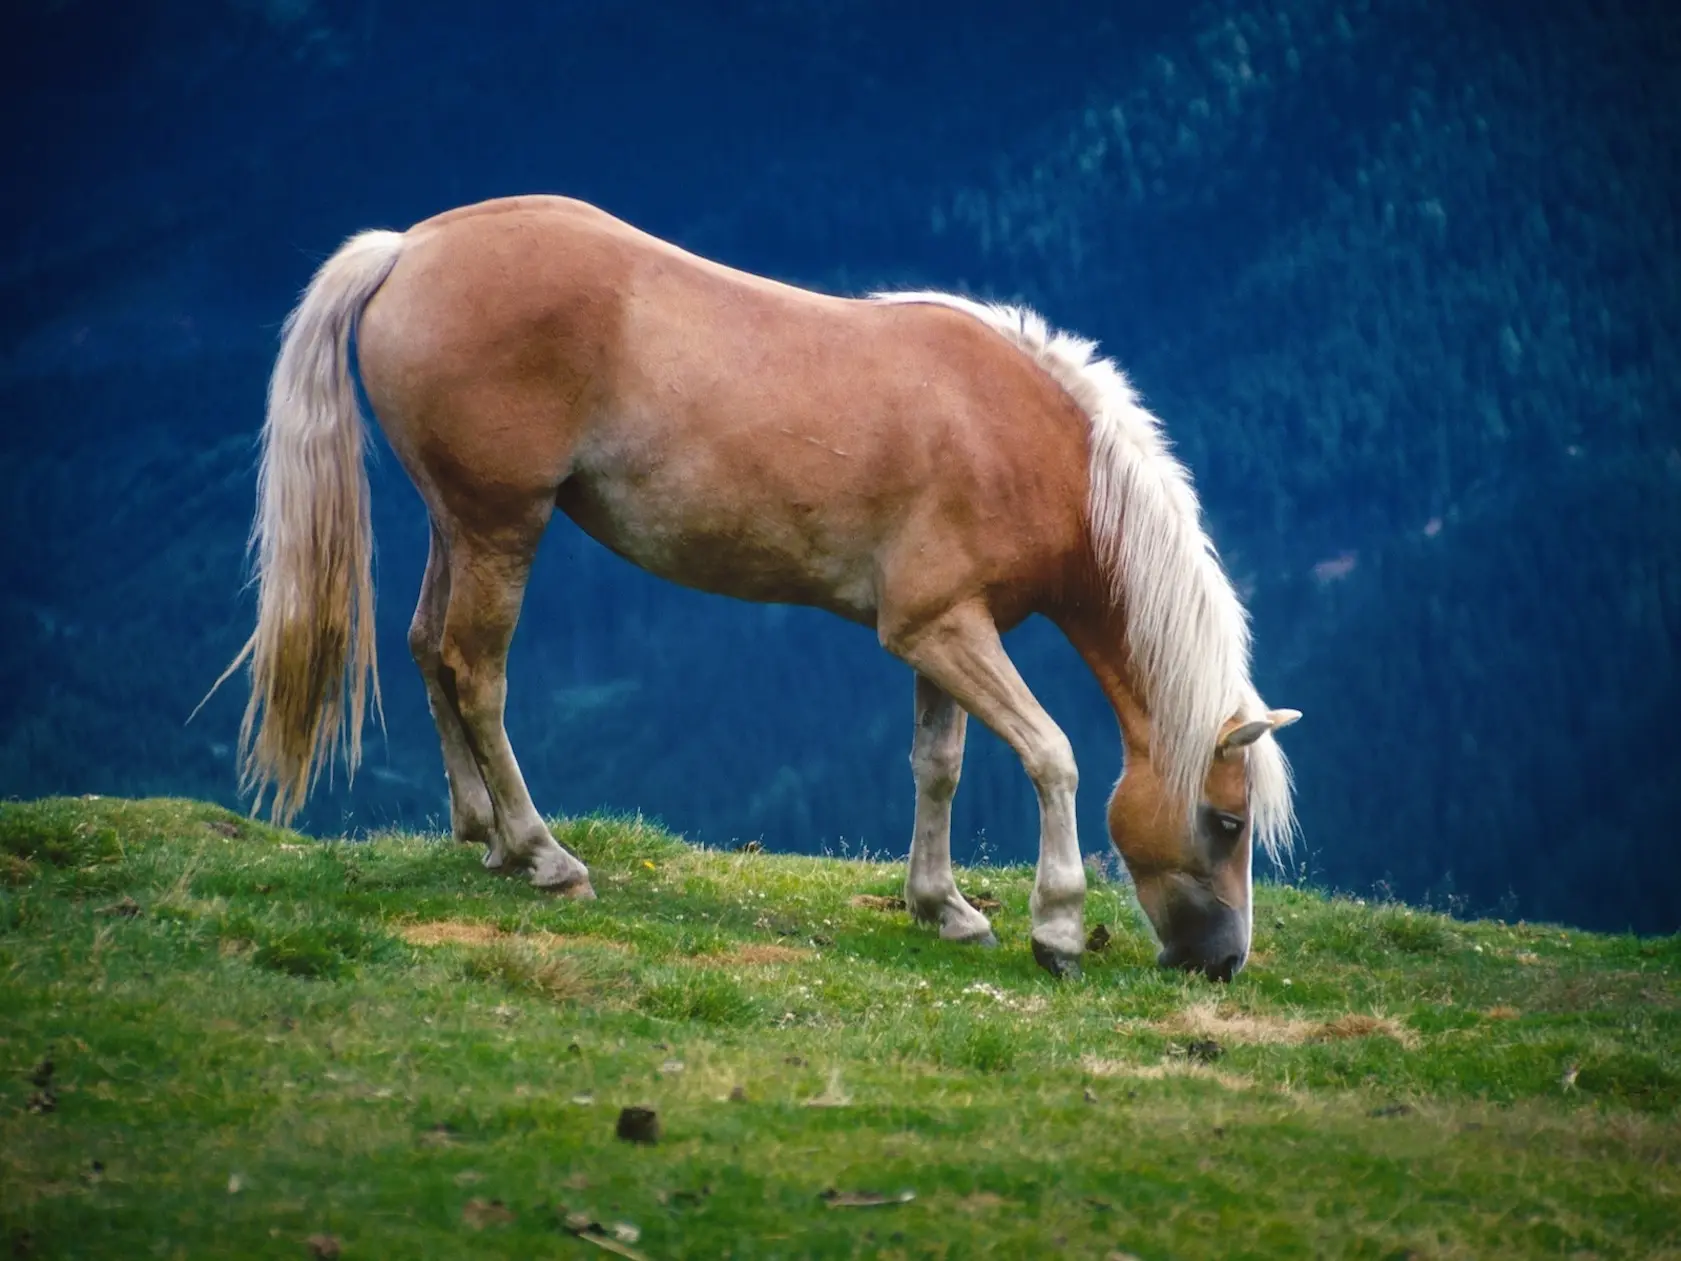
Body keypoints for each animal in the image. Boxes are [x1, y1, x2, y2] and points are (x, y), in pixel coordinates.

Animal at [220, 192, 1297, 981]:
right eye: (1228, 821)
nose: (1223, 962)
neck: (1022, 441)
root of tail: (409, 247)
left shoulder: (944, 633)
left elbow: (938, 764)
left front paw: (942, 906)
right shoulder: (942, 630)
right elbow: (1052, 755)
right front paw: (1057, 929)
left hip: (462, 524)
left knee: (427, 649)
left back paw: (484, 836)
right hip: (499, 526)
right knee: (475, 669)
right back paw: (543, 854)